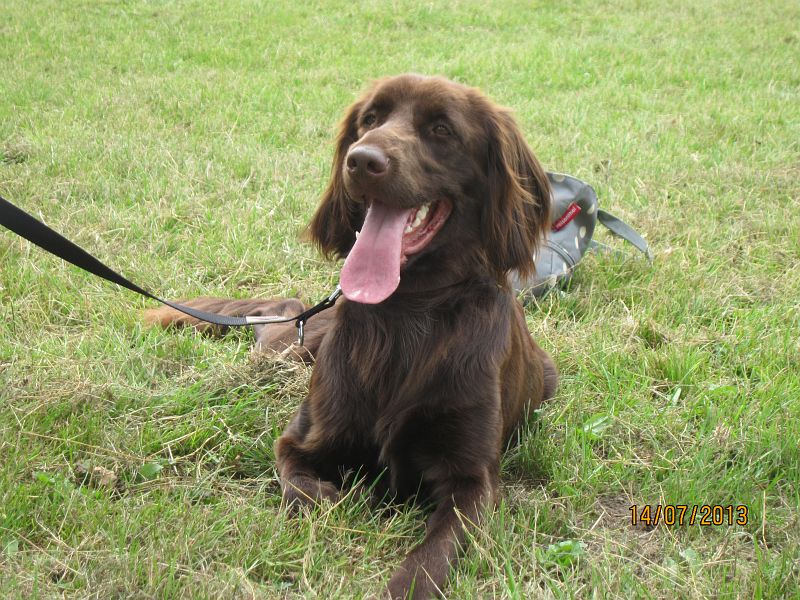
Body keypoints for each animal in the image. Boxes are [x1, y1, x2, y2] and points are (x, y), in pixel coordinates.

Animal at [146, 74, 558, 599]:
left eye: (441, 128)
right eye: (370, 119)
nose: (362, 161)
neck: (407, 312)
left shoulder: (472, 480)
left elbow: (431, 558)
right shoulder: (303, 439)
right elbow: (302, 487)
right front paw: (338, 498)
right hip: (293, 350)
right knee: (282, 313)